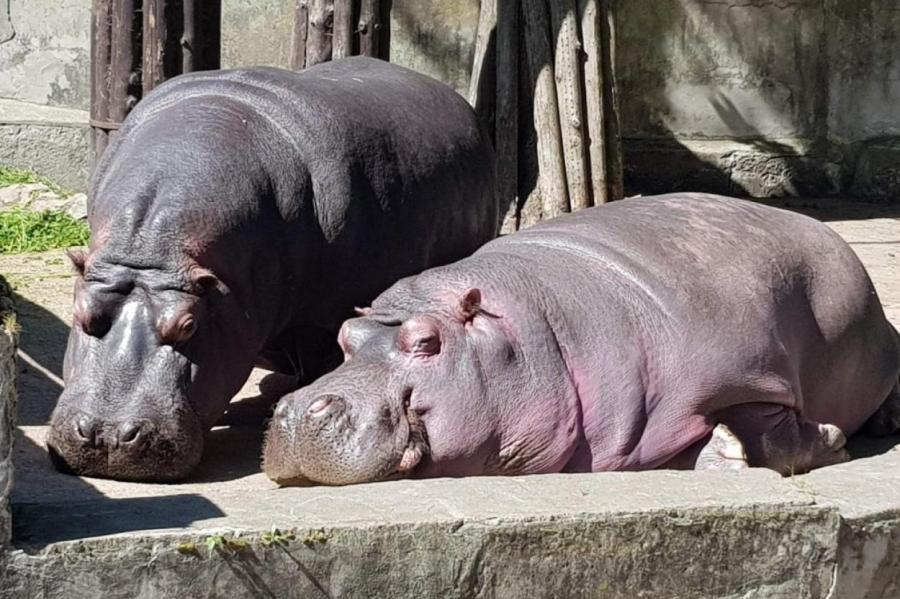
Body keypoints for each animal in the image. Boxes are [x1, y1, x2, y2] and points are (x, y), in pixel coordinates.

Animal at [264, 195, 900, 486]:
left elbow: (773, 435)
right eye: (346, 335)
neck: (526, 334)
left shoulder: (749, 371)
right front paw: (723, 451)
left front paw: (832, 439)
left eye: (425, 342)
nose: (295, 410)